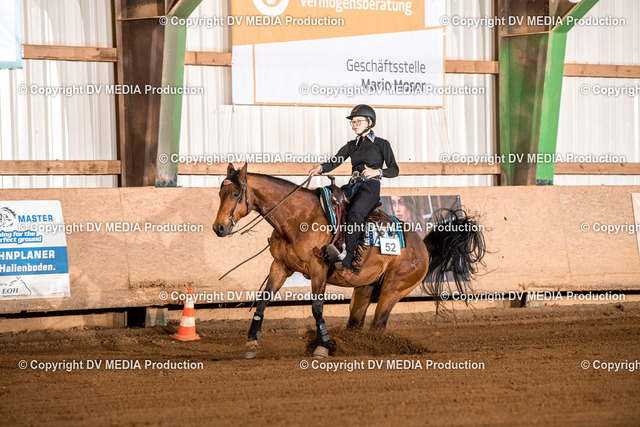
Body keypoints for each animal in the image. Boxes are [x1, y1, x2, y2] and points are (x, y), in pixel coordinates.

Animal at [213, 163, 485, 358]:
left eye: (235, 193)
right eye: (220, 193)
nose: (219, 228)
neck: (299, 218)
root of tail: (422, 246)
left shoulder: (318, 270)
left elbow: (317, 307)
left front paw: (322, 347)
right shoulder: (280, 266)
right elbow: (263, 300)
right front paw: (252, 341)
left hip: (393, 290)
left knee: (378, 325)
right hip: (364, 290)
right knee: (357, 322)